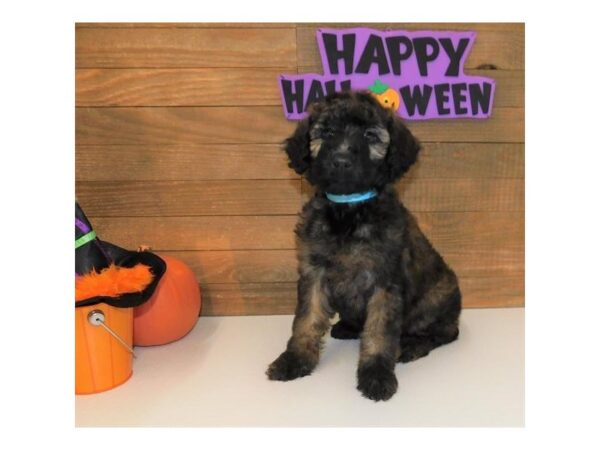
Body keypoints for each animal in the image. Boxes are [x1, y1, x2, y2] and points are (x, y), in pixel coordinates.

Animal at [266, 90, 460, 400]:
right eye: (327, 132)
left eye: (370, 136)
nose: (342, 160)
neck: (348, 210)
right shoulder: (314, 273)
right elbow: (306, 320)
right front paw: (294, 360)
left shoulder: (385, 282)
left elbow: (379, 332)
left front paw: (376, 375)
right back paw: (347, 327)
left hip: (438, 295)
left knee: (445, 332)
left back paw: (412, 345)